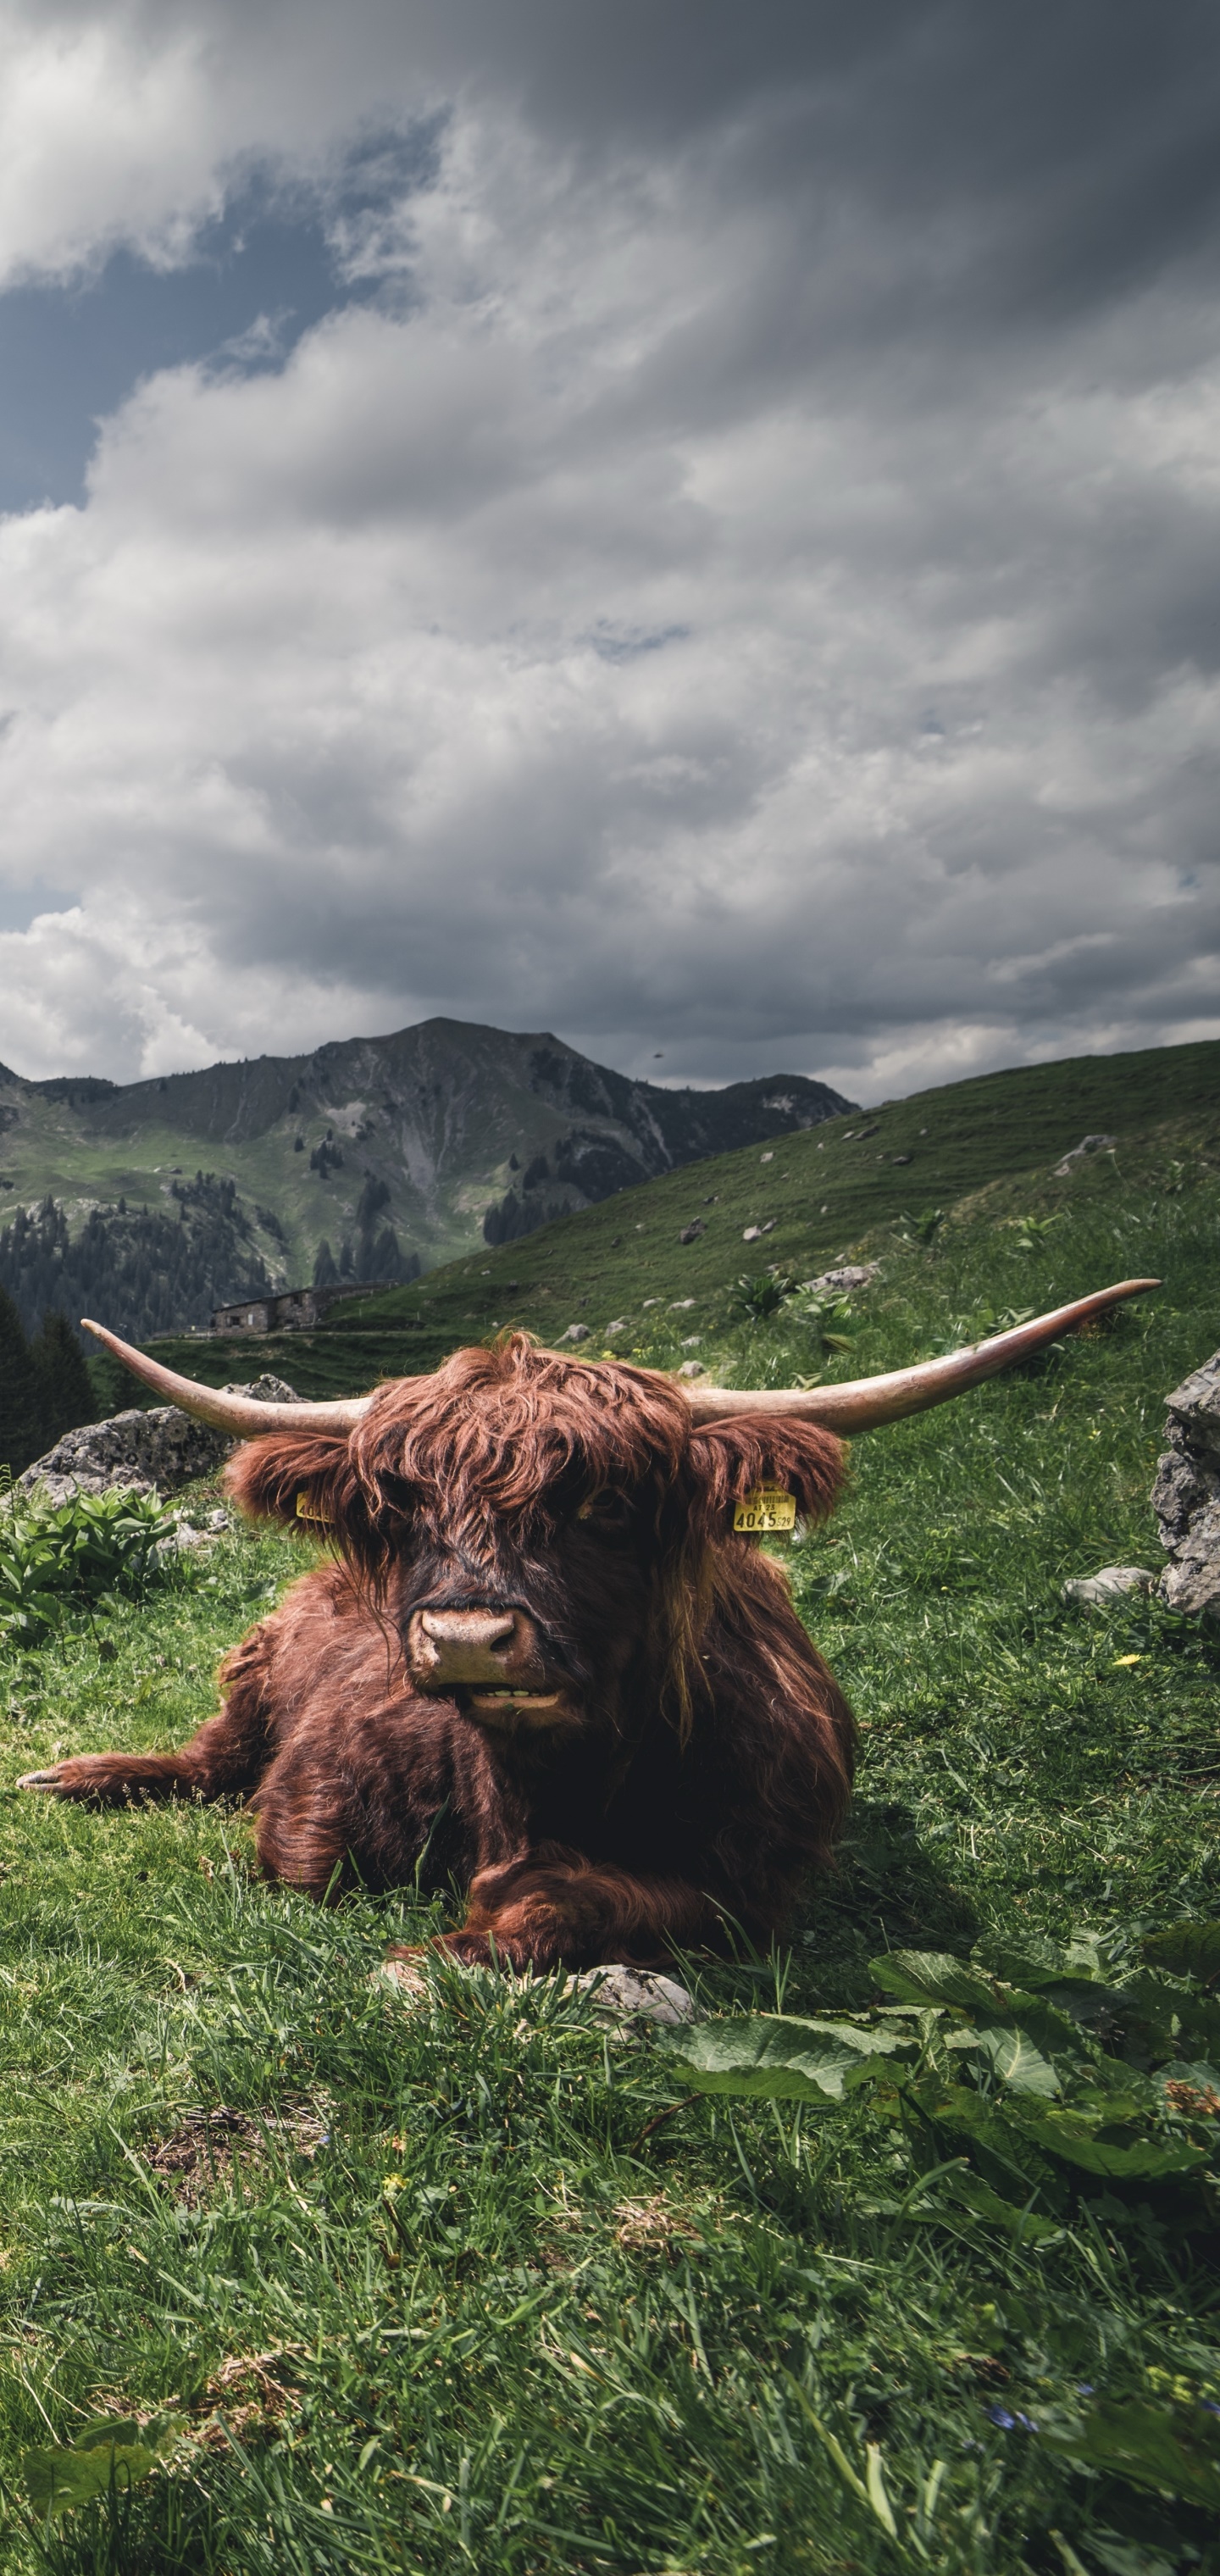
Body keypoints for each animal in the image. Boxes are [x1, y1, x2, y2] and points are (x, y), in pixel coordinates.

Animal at [19, 1281, 1154, 1973]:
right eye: (400, 1507)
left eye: (605, 1504)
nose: (465, 1637)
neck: (549, 1782)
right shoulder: (317, 1779)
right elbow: (298, 1856)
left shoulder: (762, 1882)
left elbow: (576, 1903)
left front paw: (443, 1951)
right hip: (254, 1674)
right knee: (207, 1758)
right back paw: (70, 1774)